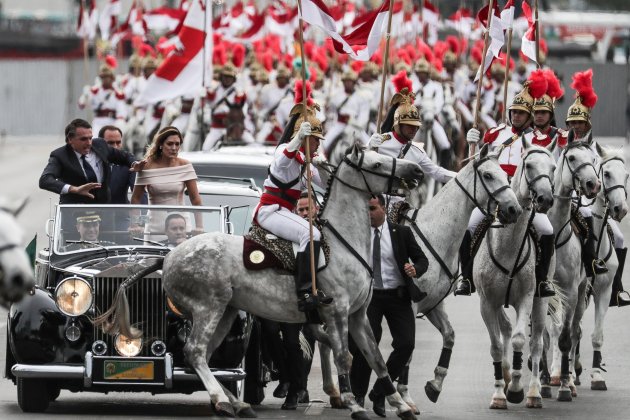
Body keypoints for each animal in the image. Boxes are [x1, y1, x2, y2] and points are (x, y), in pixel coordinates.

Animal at [96, 145, 428, 420]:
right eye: (377, 163)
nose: (416, 171)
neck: (342, 243)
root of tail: (168, 257)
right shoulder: (336, 313)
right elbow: (344, 357)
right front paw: (354, 405)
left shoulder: (358, 316)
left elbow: (377, 359)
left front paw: (401, 406)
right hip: (207, 308)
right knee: (195, 352)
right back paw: (223, 400)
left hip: (226, 312)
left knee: (204, 357)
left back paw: (236, 403)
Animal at [396, 144, 524, 410]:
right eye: (488, 175)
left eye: (505, 174)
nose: (514, 210)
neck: (433, 235)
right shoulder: (409, 305)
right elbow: (407, 350)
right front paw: (404, 397)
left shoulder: (432, 303)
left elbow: (450, 335)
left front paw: (435, 385)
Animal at [476, 139, 560, 408]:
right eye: (529, 165)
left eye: (553, 167)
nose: (545, 199)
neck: (508, 246)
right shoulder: (487, 302)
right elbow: (496, 345)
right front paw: (499, 393)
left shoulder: (526, 297)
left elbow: (521, 339)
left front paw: (515, 388)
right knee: (504, 328)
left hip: (540, 301)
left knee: (537, 342)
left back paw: (533, 392)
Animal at [564, 144, 628, 394]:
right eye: (607, 173)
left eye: (626, 175)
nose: (620, 209)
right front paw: (569, 374)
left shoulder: (604, 291)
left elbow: (596, 335)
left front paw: (596, 374)